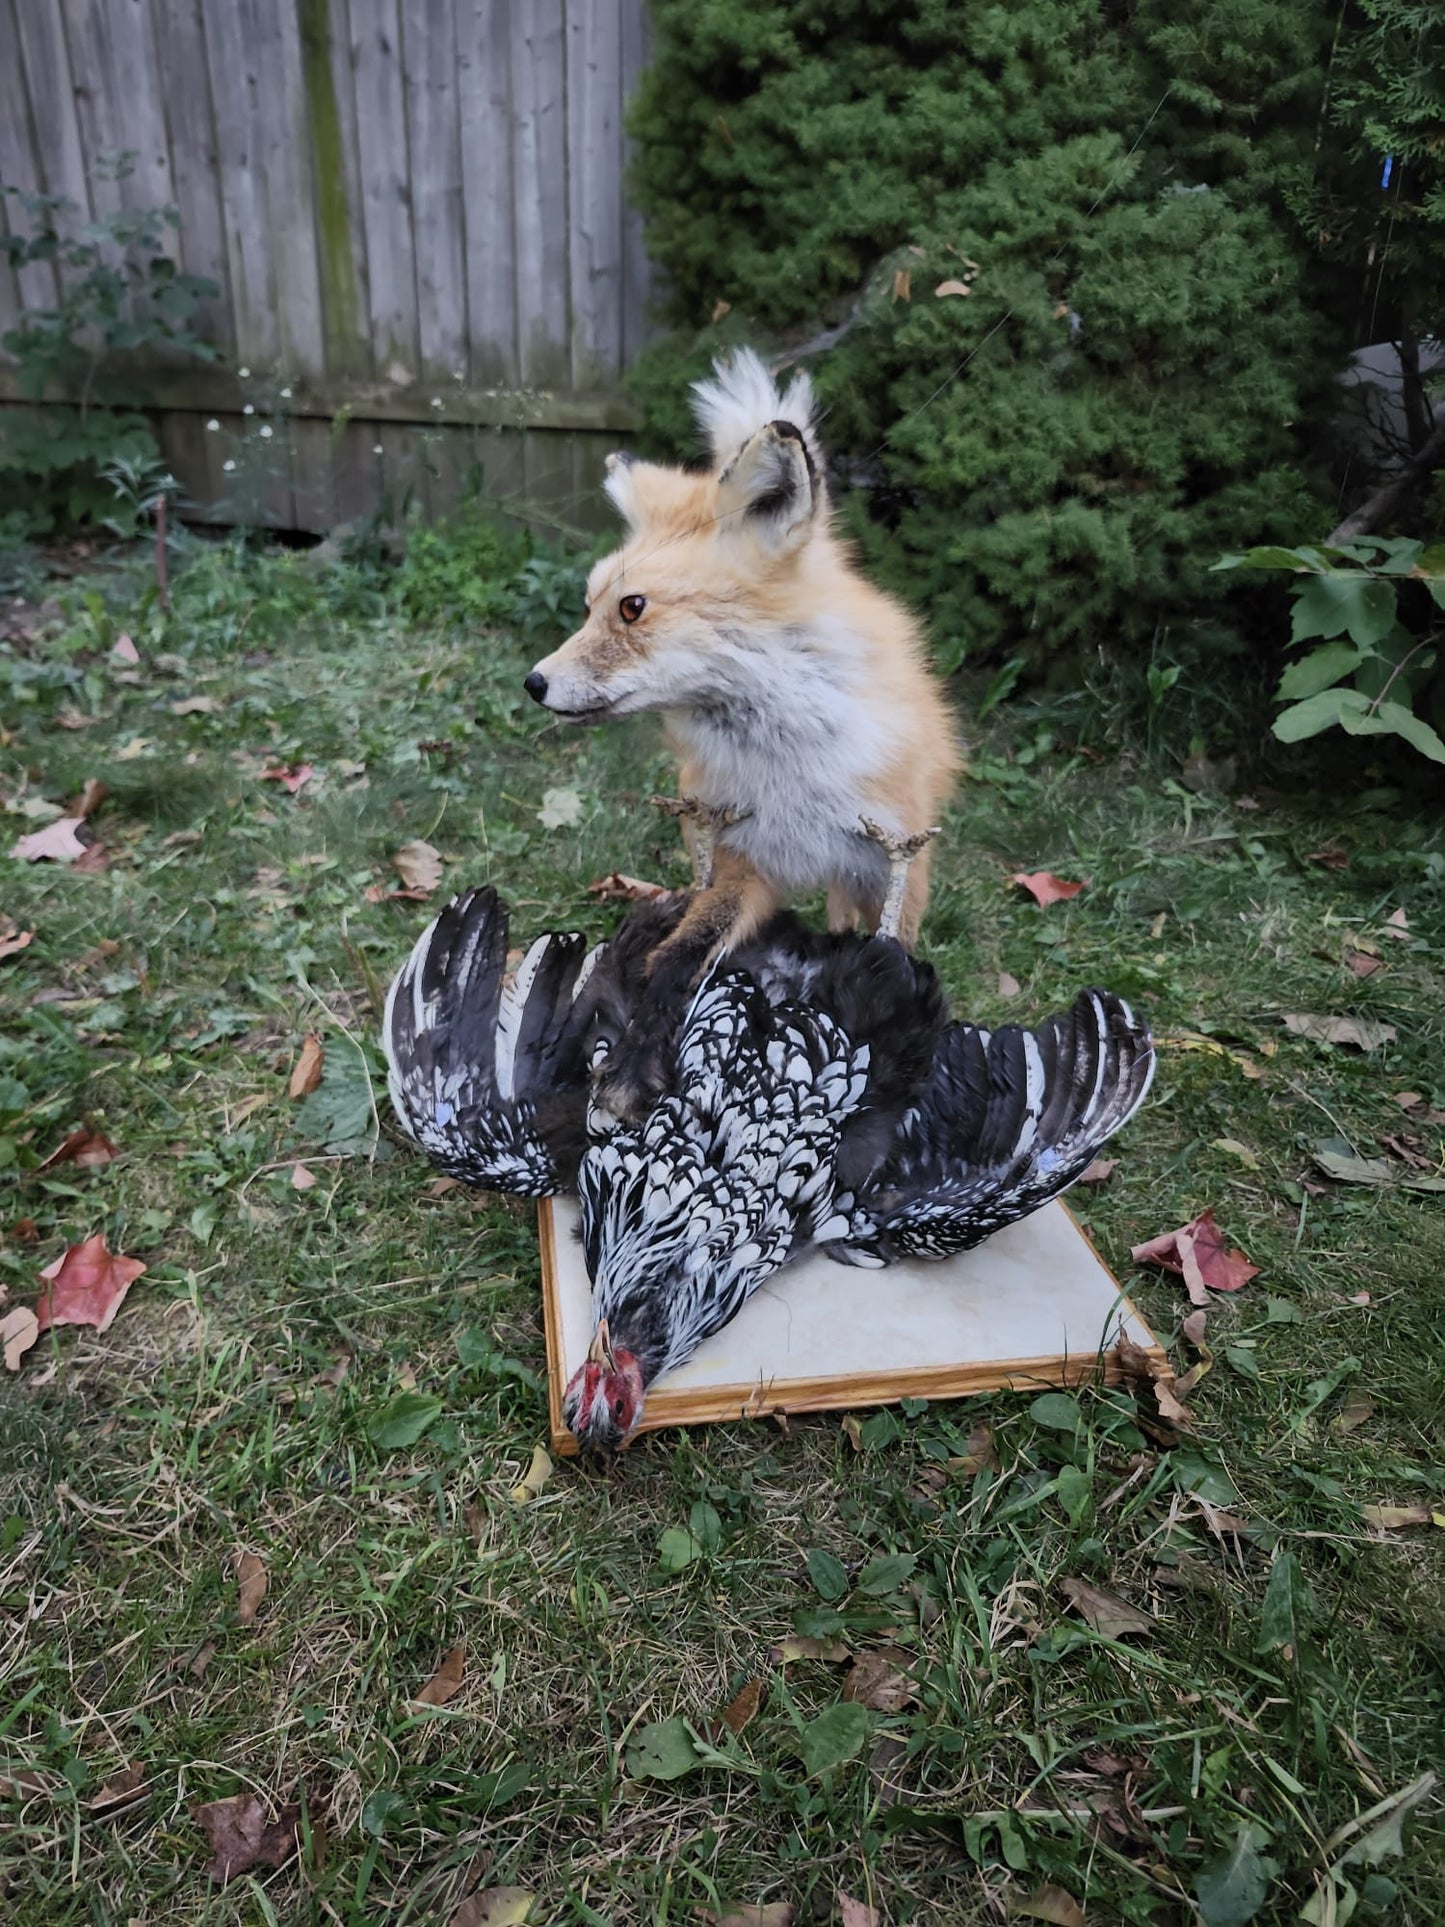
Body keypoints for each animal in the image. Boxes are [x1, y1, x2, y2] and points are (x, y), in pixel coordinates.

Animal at [524, 349, 959, 965]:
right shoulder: (740, 856)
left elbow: (893, 950)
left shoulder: (895, 863)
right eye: (589, 607)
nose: (533, 682)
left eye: (631, 608)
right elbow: (690, 943)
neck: (788, 766)